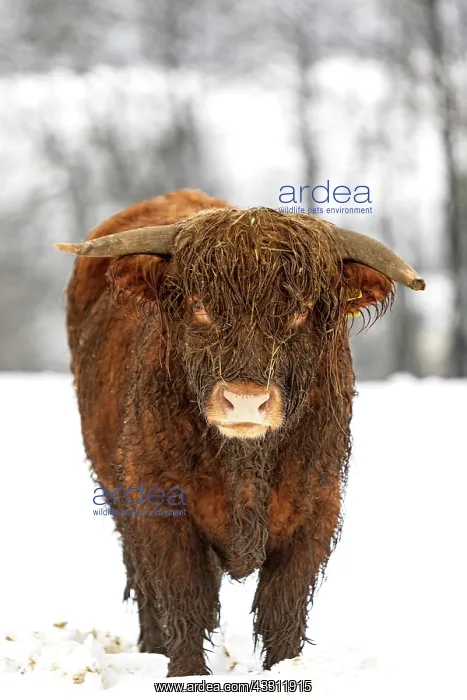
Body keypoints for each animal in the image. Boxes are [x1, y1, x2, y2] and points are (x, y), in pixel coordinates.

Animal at [55, 189, 425, 677]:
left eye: (301, 310)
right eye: (199, 304)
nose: (246, 400)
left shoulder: (317, 508)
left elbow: (283, 606)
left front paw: (284, 670)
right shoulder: (158, 502)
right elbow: (184, 597)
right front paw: (185, 672)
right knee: (142, 578)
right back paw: (152, 649)